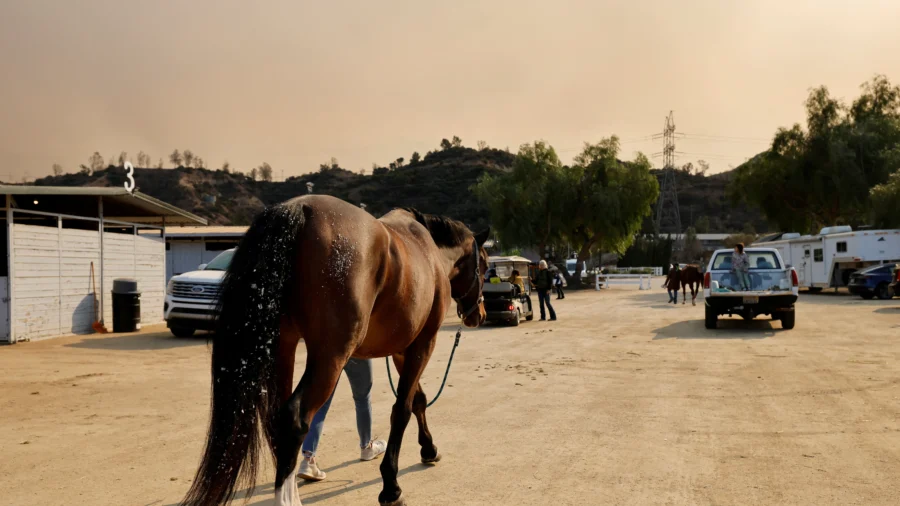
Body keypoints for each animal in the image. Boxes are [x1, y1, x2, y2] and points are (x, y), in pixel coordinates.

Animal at [180, 195, 488, 506]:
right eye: (485, 266)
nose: (480, 314)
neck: (429, 251)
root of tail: (299, 209)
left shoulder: (402, 350)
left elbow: (418, 401)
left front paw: (429, 449)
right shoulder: (423, 343)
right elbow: (402, 409)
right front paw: (391, 485)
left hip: (284, 349)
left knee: (277, 418)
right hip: (331, 358)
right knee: (295, 418)